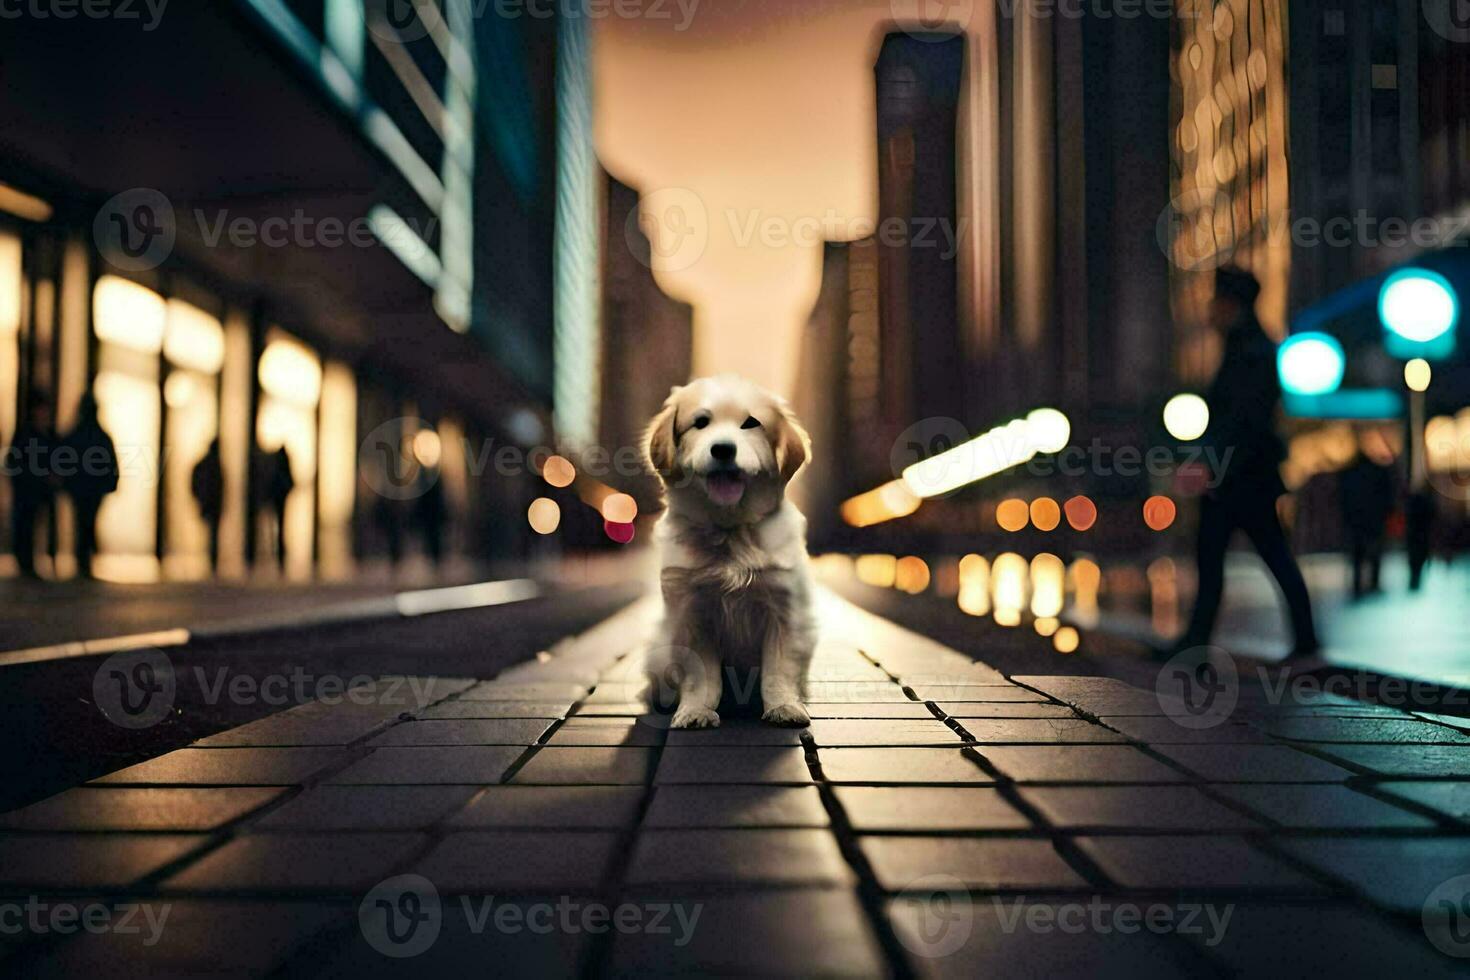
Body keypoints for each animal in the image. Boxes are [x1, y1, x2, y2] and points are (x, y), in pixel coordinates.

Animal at [646, 376, 823, 728]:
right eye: (701, 423)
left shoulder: (785, 610)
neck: (729, 530)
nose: (724, 448)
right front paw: (695, 711)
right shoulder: (691, 613)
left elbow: (778, 670)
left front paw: (784, 707)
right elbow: (701, 675)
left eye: (751, 423)